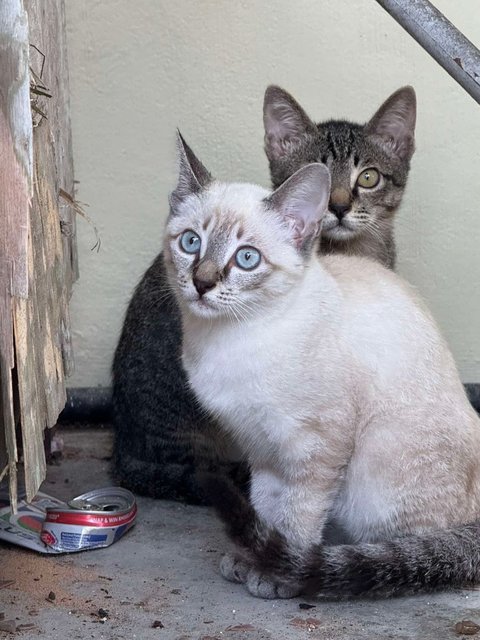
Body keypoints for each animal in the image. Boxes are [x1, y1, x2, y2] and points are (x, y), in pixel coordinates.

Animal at [164, 132, 480, 596]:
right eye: (190, 243)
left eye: (246, 259)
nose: (202, 283)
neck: (230, 339)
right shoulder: (261, 447)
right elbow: (264, 506)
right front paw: (254, 556)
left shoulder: (317, 445)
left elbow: (299, 511)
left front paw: (279, 570)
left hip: (379, 469)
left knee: (421, 547)